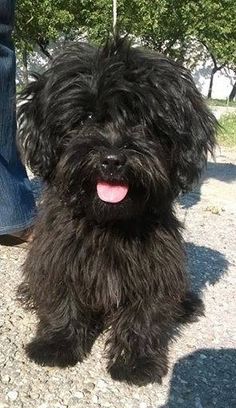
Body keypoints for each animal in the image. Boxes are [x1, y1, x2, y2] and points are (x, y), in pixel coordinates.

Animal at [17, 35, 217, 386]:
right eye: (85, 119)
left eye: (145, 123)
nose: (112, 159)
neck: (109, 221)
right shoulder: (57, 254)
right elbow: (60, 295)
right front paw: (56, 344)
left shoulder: (155, 265)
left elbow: (144, 314)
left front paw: (137, 362)